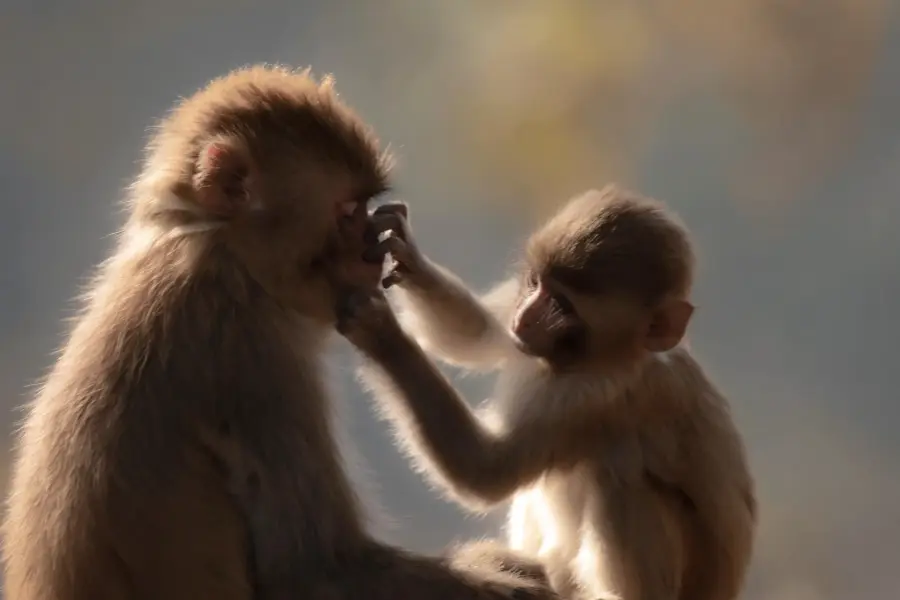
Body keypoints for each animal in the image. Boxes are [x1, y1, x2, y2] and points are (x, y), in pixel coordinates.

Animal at [0, 65, 558, 600]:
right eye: (346, 213)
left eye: (366, 211)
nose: (369, 256)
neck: (220, 253)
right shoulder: (251, 354)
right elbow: (312, 571)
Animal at [335, 186, 757, 600]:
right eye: (536, 285)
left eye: (563, 306)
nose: (525, 318)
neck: (611, 356)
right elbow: (481, 334)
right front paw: (407, 253)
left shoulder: (594, 396)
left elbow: (486, 470)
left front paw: (383, 335)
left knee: (618, 472)